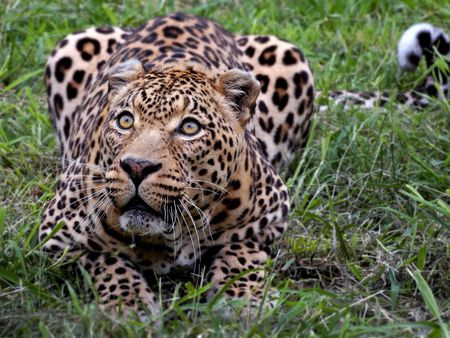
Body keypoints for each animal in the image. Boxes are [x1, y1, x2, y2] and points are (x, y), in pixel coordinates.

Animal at [39, 11, 450, 320]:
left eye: (189, 128)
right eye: (125, 121)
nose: (137, 167)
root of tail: (184, 12)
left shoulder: (271, 214)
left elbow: (242, 250)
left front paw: (243, 301)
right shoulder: (55, 234)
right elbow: (106, 260)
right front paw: (129, 306)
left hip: (289, 55)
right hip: (71, 44)